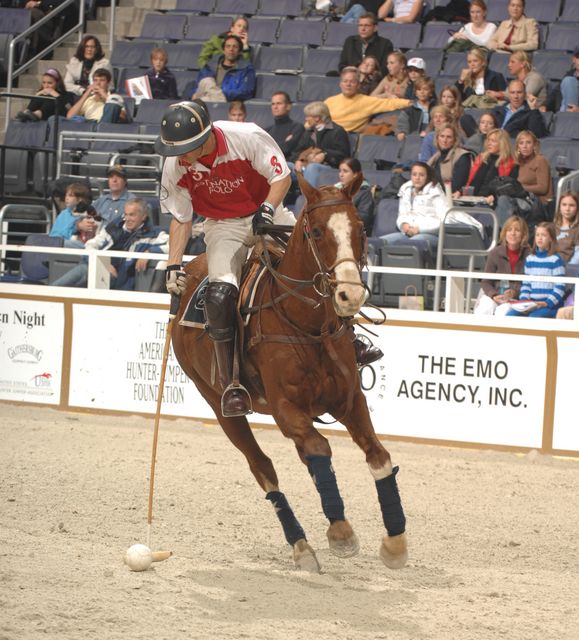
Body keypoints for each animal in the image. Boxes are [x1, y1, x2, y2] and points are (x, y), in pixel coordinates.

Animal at [172, 172, 408, 572]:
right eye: (315, 231)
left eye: (360, 228)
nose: (350, 295)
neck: (307, 325)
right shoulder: (285, 410)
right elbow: (320, 448)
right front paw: (341, 533)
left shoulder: (349, 401)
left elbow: (377, 455)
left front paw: (395, 543)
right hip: (216, 402)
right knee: (263, 467)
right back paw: (301, 546)